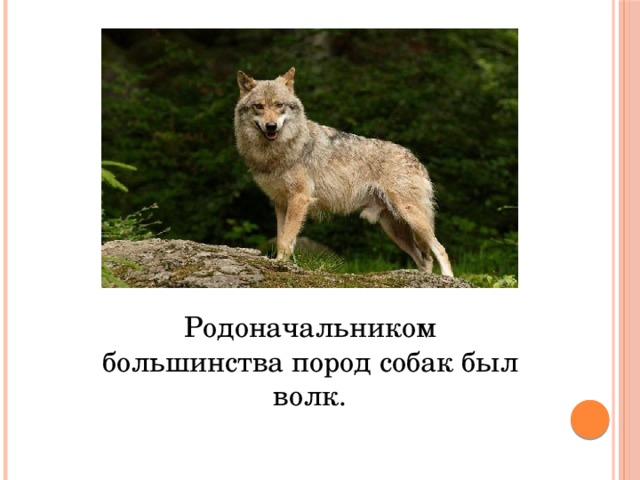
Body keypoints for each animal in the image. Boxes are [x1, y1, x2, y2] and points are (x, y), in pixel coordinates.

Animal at [233, 67, 454, 277]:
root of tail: (416, 159)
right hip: (395, 229)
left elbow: (286, 240)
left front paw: (280, 264)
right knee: (425, 259)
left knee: (440, 249)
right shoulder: (281, 203)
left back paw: (447, 277)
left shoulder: (299, 199)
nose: (271, 126)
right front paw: (282, 264)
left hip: (411, 218)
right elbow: (283, 238)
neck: (278, 151)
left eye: (279, 105)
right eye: (259, 106)